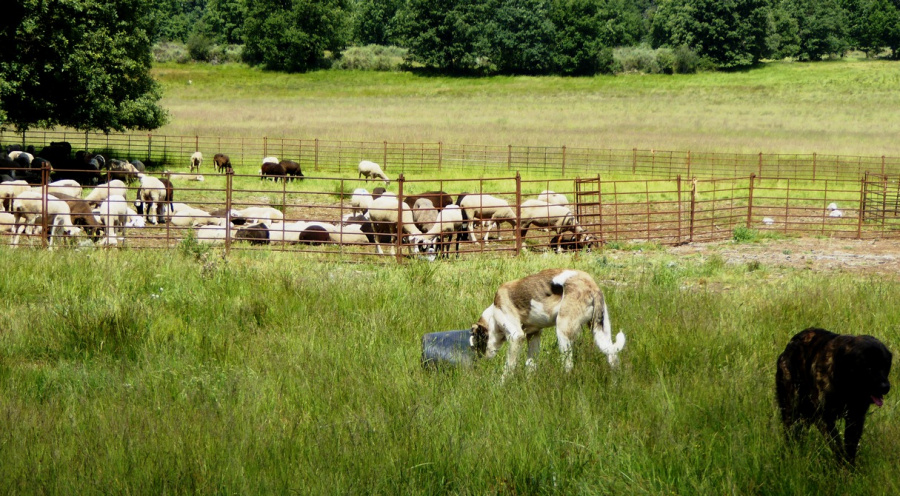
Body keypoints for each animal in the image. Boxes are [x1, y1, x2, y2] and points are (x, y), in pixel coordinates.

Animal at [472, 268, 624, 380]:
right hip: (601, 332)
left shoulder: (516, 336)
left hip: (563, 332)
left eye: (476, 345)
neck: (493, 315)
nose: (479, 363)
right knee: (613, 358)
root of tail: (591, 286)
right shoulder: (534, 336)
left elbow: (509, 368)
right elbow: (530, 365)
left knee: (568, 365)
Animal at [772, 328, 892, 464]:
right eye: (869, 368)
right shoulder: (824, 418)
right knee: (790, 436)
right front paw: (841, 465)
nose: (886, 387)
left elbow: (850, 447)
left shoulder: (855, 418)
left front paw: (850, 467)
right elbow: (837, 445)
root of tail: (787, 350)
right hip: (791, 411)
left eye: (886, 366)